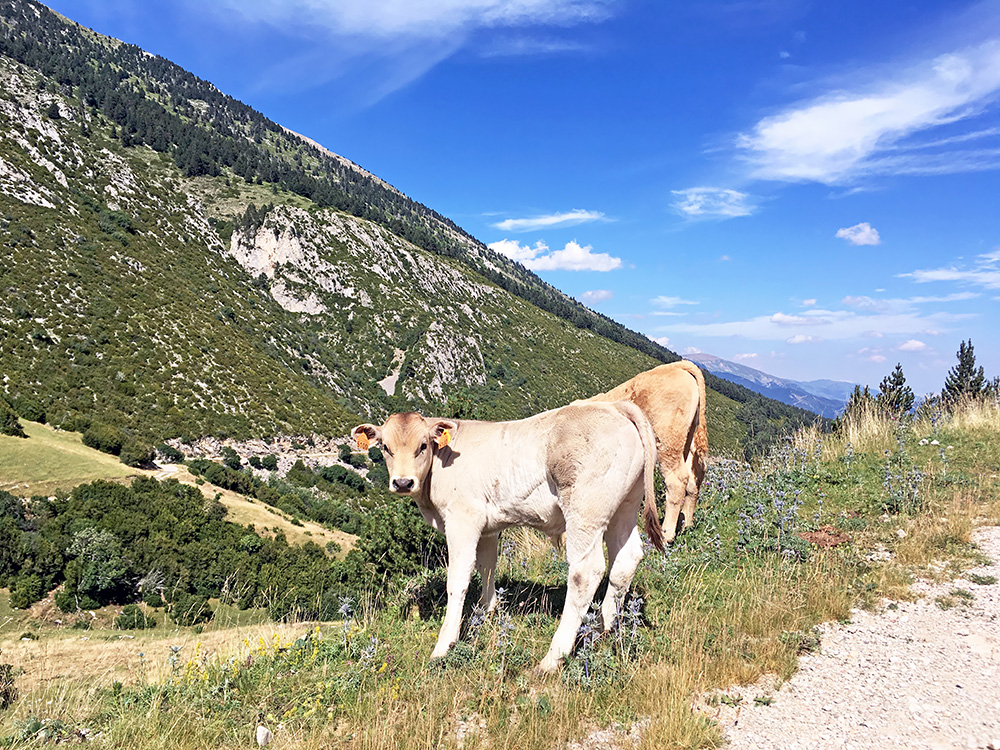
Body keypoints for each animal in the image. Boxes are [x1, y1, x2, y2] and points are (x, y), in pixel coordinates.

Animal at [352, 406, 664, 676]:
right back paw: (601, 628)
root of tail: (614, 407)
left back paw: (552, 658)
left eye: (423, 446)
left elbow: (458, 579)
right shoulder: (488, 527)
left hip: (585, 510)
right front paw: (486, 613)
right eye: (386, 448)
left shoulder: (463, 518)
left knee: (585, 572)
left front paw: (444, 645)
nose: (403, 483)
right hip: (625, 505)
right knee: (627, 558)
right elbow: (487, 566)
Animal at [584, 362, 712, 544]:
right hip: (688, 441)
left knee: (677, 480)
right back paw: (686, 525)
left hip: (667, 439)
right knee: (695, 478)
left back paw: (666, 535)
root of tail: (678, 366)